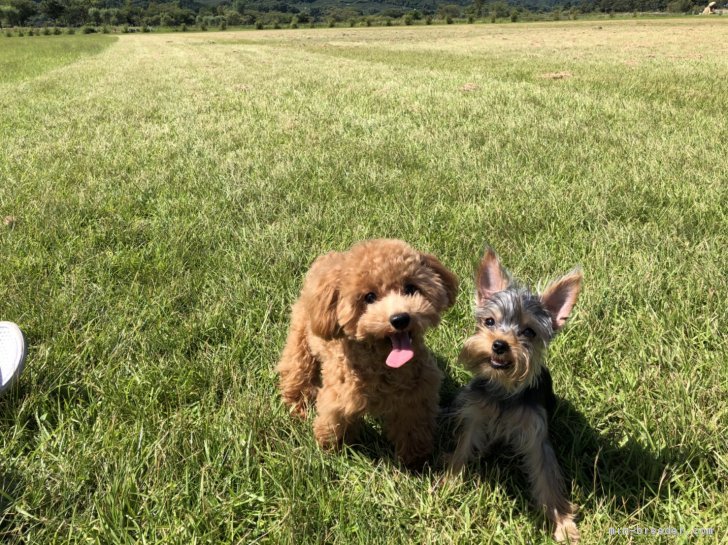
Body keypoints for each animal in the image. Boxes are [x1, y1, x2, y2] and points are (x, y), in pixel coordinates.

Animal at [276, 239, 458, 468]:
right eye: (369, 297)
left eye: (410, 288)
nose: (400, 319)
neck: (383, 364)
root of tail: (328, 258)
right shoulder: (339, 397)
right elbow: (334, 422)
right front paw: (331, 450)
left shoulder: (416, 398)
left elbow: (412, 428)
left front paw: (415, 460)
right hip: (300, 337)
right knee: (296, 369)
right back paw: (296, 404)